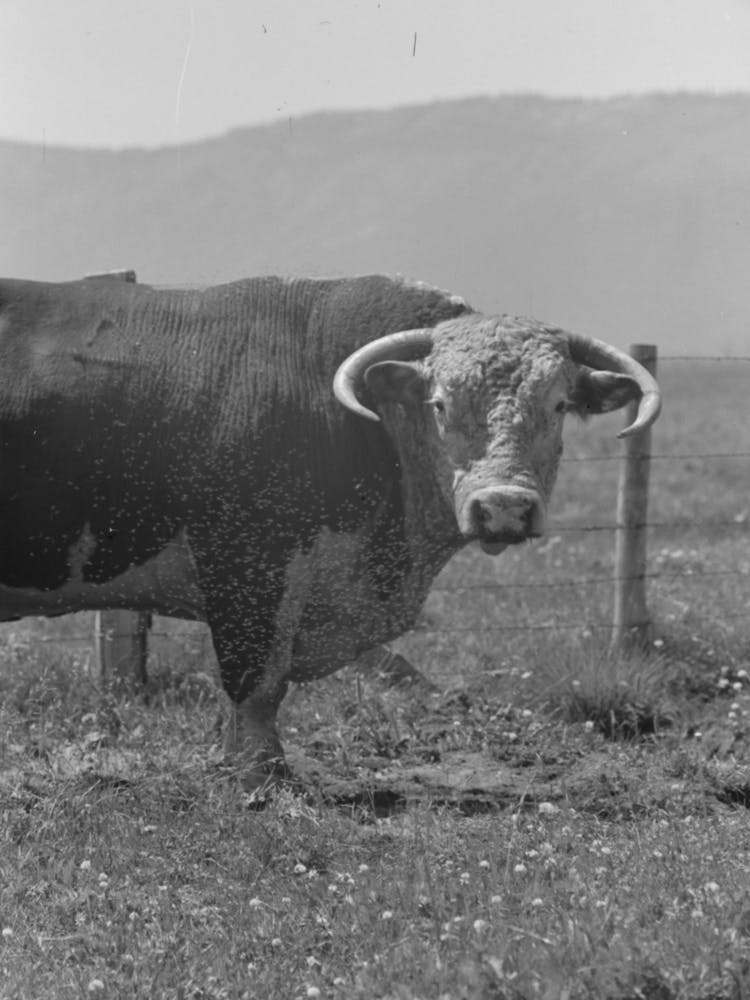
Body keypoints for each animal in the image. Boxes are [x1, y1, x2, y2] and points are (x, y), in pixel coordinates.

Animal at [0, 273, 660, 790]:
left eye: (558, 406)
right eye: (441, 404)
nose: (502, 506)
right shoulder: (250, 571)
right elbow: (255, 686)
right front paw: (258, 778)